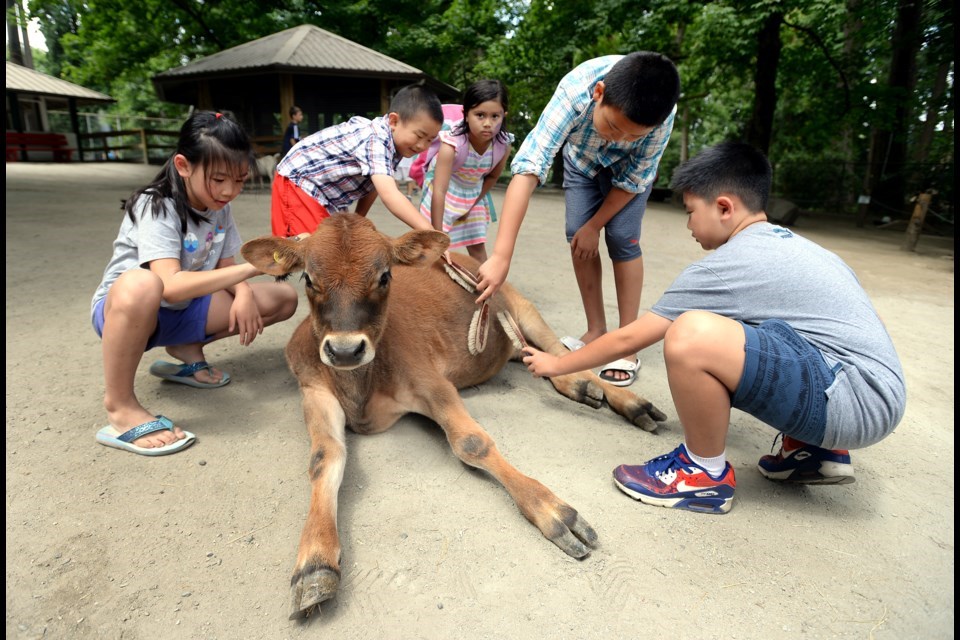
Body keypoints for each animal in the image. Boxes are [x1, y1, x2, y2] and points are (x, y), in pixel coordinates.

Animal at [240, 215, 664, 620]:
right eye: (308, 278)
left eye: (385, 275)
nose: (345, 350)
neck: (360, 392)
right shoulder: (313, 390)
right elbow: (324, 459)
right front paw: (314, 564)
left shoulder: (431, 381)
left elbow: (472, 443)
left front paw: (552, 510)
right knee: (540, 359)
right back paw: (579, 386)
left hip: (525, 309)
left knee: (560, 351)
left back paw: (628, 402)